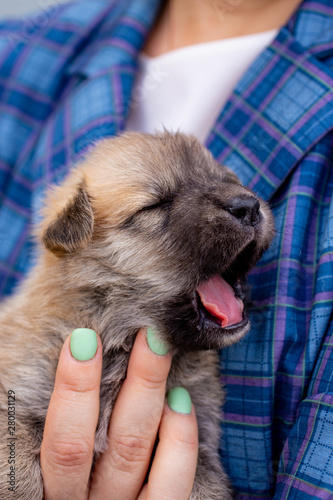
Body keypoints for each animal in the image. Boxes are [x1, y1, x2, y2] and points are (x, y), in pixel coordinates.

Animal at [0, 131, 272, 498]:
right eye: (154, 205)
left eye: (226, 179)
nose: (248, 206)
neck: (116, 336)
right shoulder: (19, 399)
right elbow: (18, 470)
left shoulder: (200, 443)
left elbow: (204, 484)